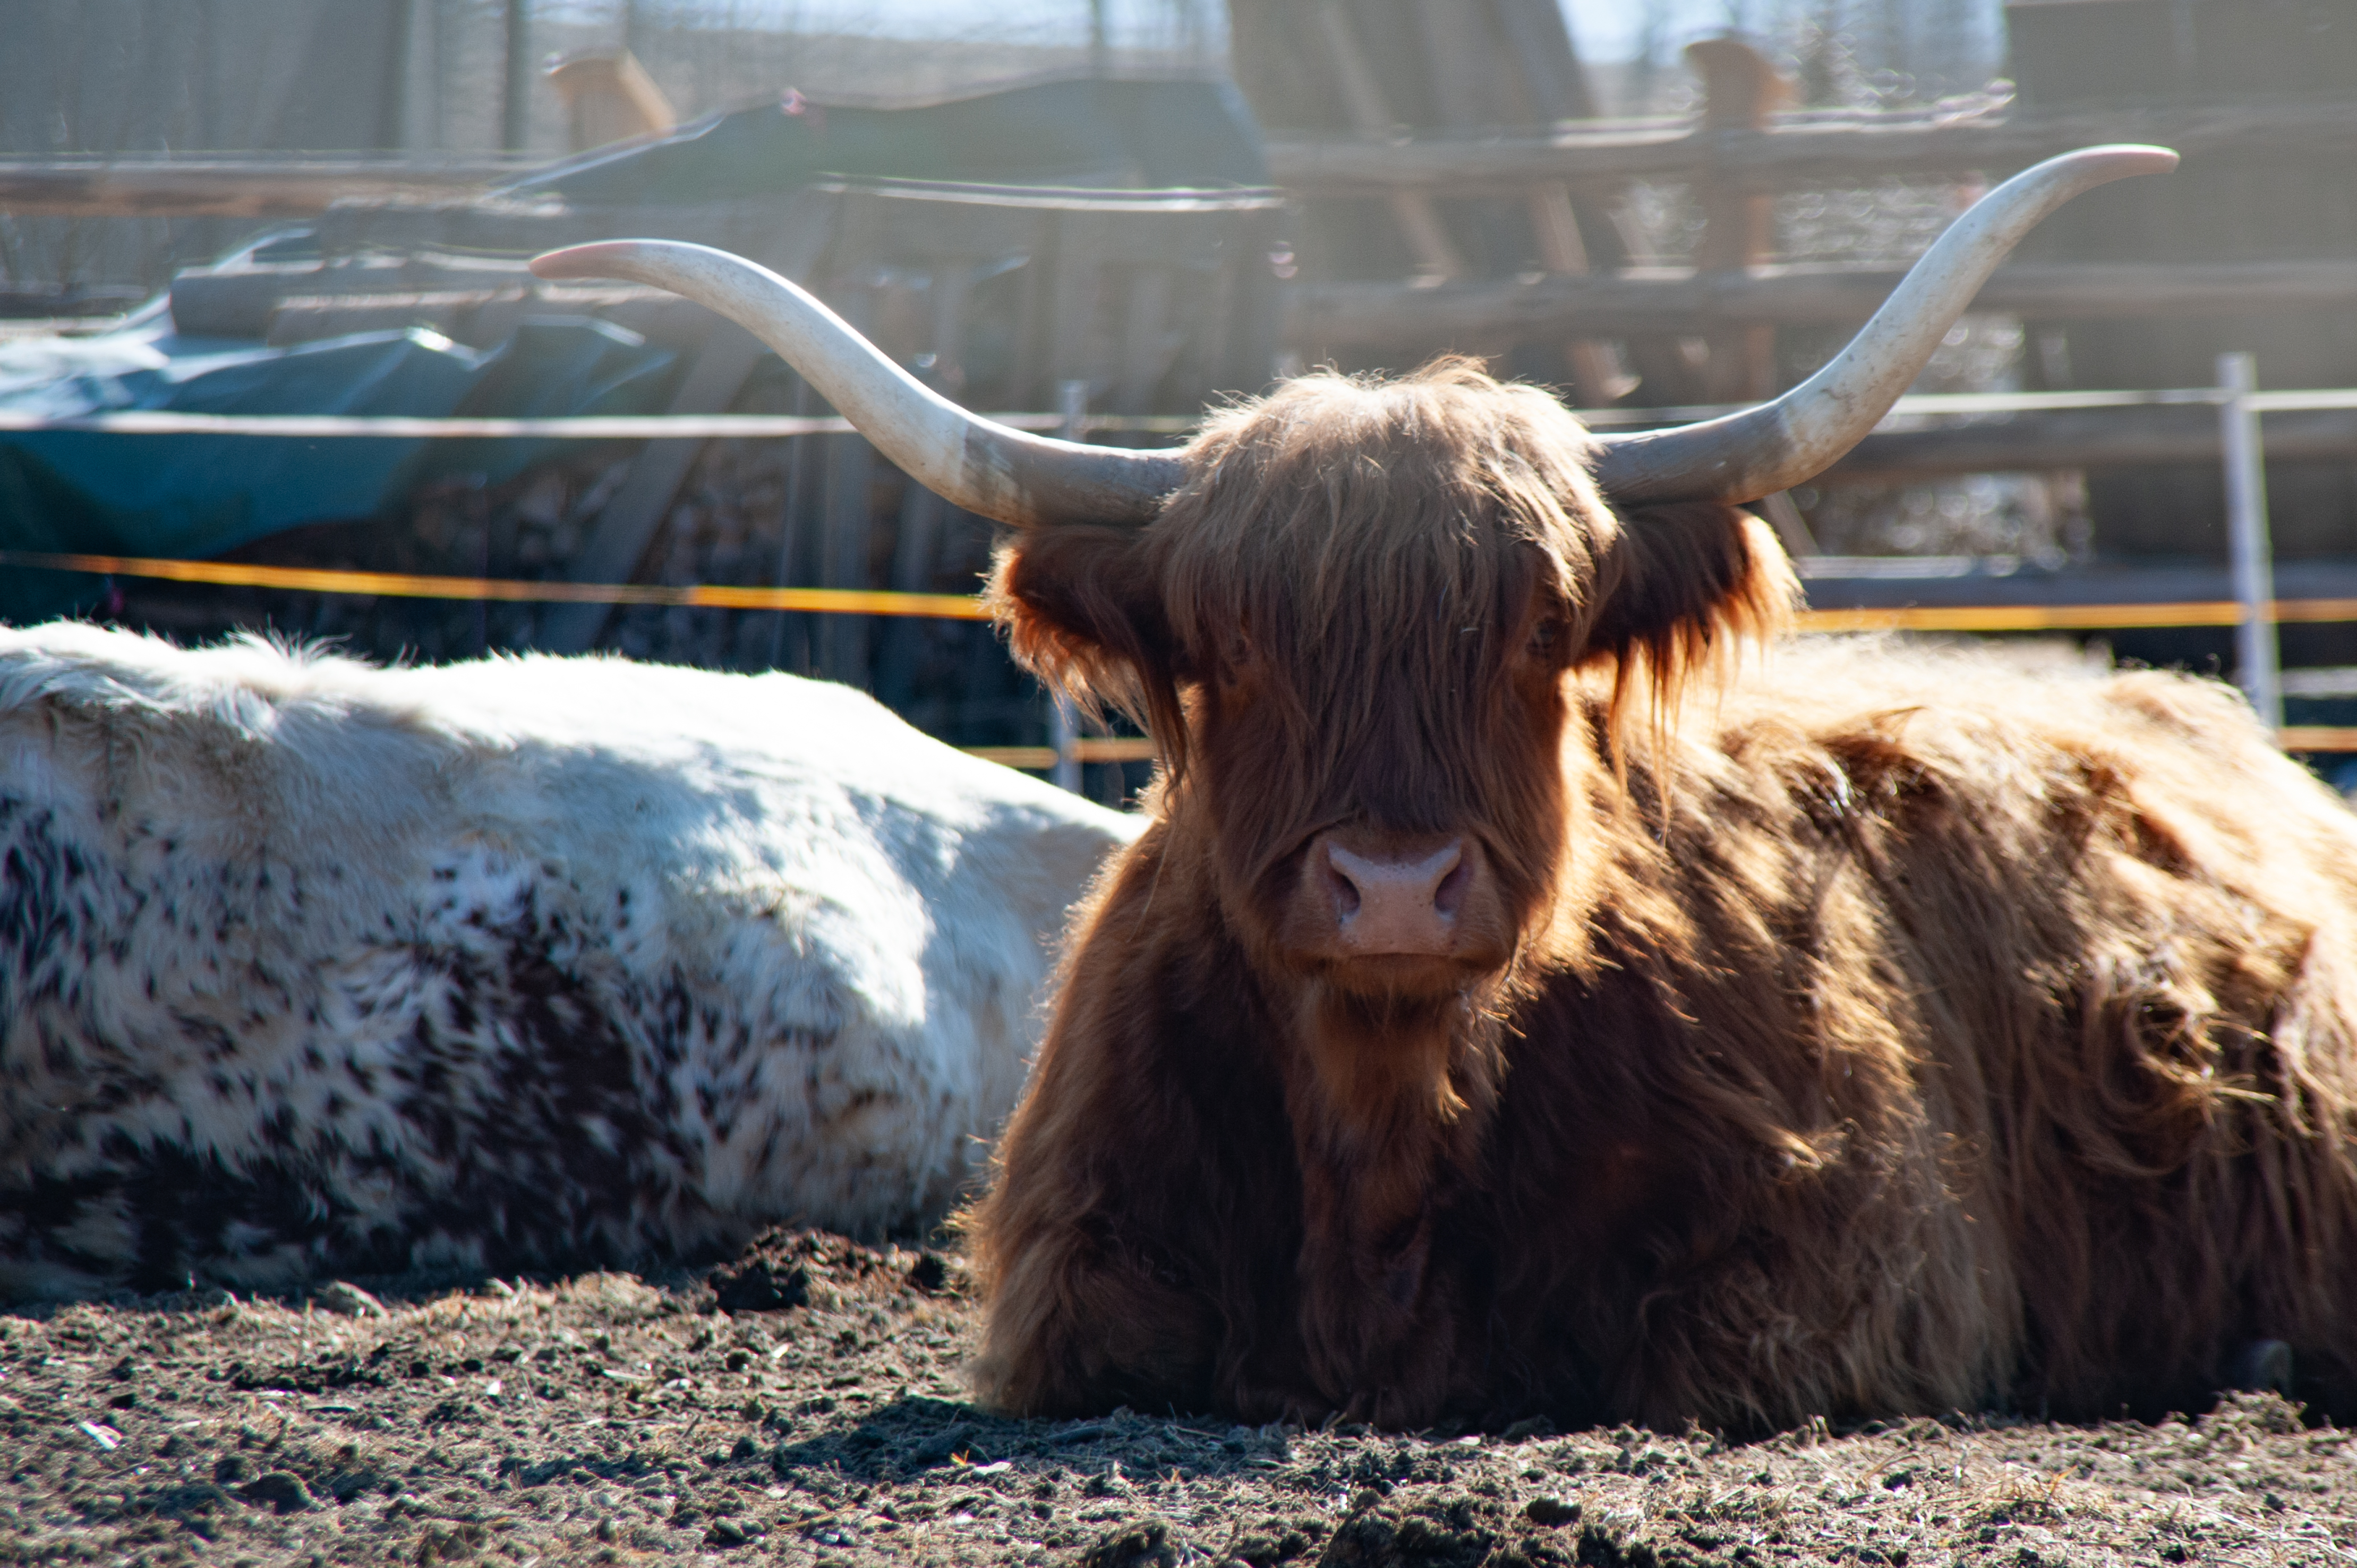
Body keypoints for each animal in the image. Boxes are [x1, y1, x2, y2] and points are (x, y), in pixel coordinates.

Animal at [535, 147, 2357, 1433]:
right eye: (1231, 643)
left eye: (1537, 630)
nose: (1395, 888)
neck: (1386, 1115)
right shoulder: (1074, 1277)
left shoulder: (1849, 1282)